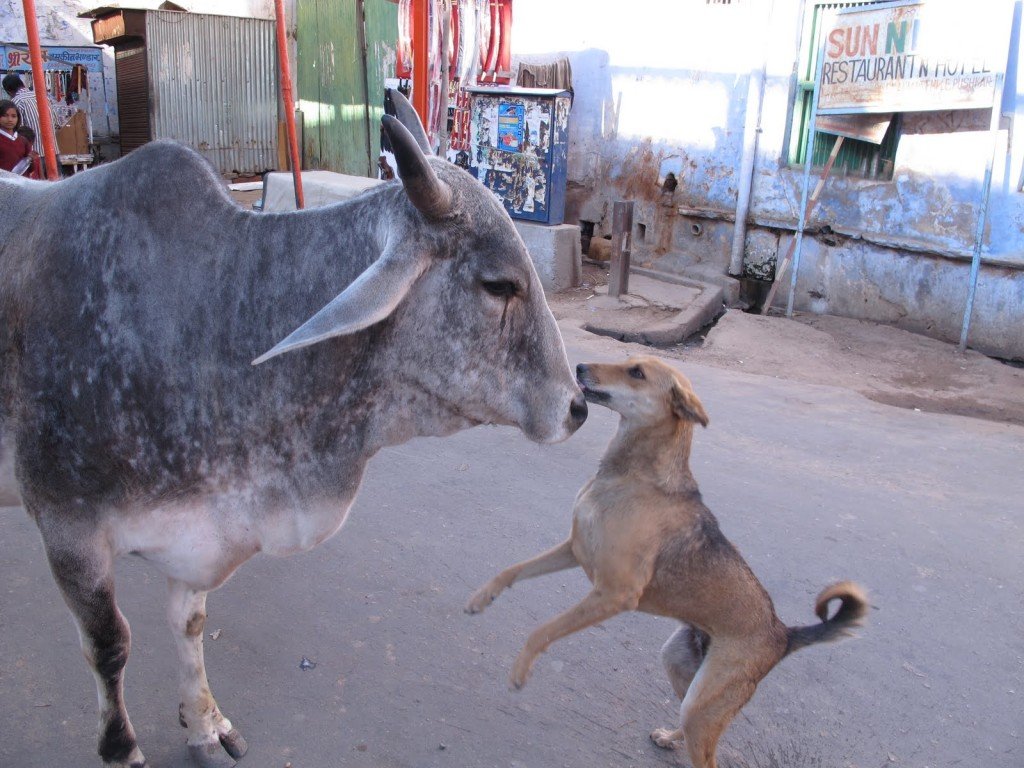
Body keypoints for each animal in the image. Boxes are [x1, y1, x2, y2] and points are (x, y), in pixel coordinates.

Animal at [0, 91, 589, 768]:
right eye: (498, 284)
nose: (577, 406)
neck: (208, 315)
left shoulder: (199, 525)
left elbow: (189, 625)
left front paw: (204, 724)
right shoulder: (67, 527)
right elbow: (109, 644)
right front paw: (121, 747)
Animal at [468, 358, 868, 768]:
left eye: (637, 373)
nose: (579, 365)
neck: (634, 476)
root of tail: (783, 634)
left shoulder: (615, 594)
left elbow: (542, 631)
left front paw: (521, 669)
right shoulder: (575, 548)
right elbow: (512, 570)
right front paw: (482, 598)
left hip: (703, 702)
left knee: (708, 755)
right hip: (682, 672)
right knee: (697, 732)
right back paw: (669, 737)